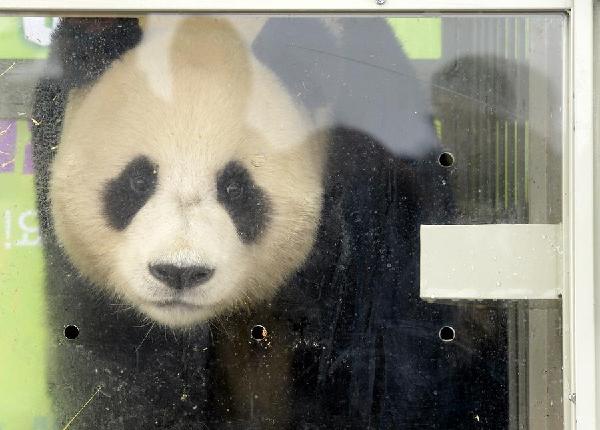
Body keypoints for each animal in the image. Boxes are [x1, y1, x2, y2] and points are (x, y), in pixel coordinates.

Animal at [30, 15, 504, 430]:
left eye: (236, 188)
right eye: (137, 179)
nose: (180, 273)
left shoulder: (372, 178)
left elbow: (375, 352)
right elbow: (118, 361)